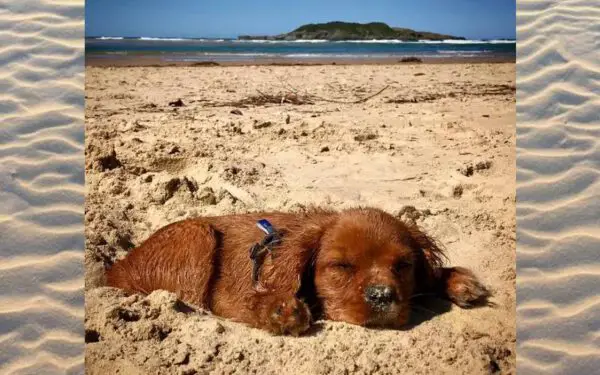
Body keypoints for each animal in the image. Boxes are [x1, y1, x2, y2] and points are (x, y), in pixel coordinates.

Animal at [106, 209, 488, 334]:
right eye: (341, 266)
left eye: (403, 266)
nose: (383, 296)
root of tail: (117, 268)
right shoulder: (229, 295)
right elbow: (251, 301)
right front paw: (277, 309)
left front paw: (457, 280)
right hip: (197, 233)